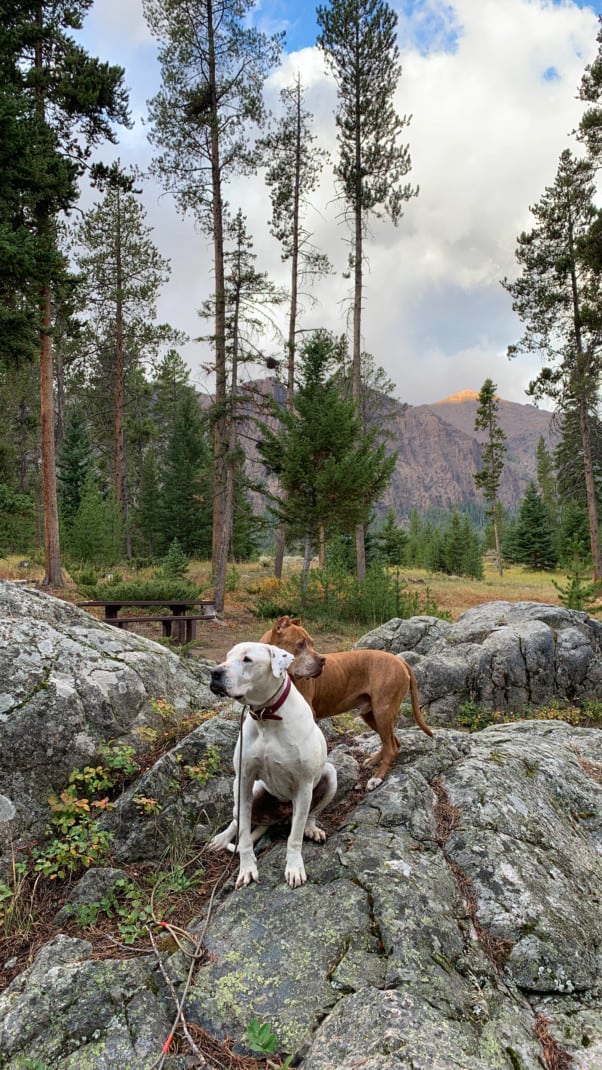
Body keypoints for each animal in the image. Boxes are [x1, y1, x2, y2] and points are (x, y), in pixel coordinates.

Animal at [209, 642, 337, 885]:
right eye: (227, 657)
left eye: (247, 659)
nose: (214, 673)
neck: (266, 716)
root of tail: (275, 818)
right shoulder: (244, 780)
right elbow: (244, 836)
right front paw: (247, 868)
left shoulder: (304, 785)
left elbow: (294, 837)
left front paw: (294, 867)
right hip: (250, 793)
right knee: (236, 822)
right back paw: (220, 839)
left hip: (330, 776)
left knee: (310, 815)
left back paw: (312, 829)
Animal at [258, 616, 434, 791]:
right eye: (300, 644)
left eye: (312, 643)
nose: (322, 660)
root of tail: (399, 660)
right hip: (371, 715)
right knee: (393, 742)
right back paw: (374, 760)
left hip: (382, 712)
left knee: (391, 747)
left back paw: (376, 778)